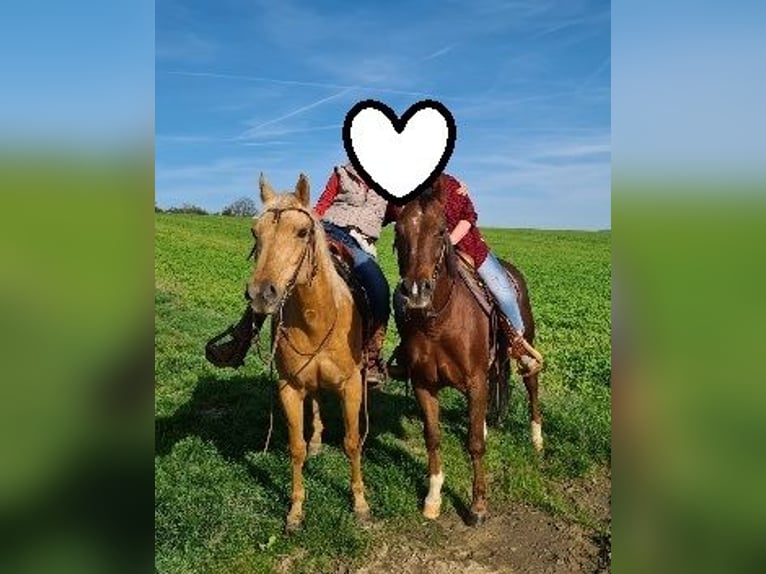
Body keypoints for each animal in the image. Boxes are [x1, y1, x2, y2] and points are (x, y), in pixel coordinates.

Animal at [247, 173, 369, 532]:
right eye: (255, 232)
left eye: (302, 232)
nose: (261, 294)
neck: (317, 317)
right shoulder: (289, 388)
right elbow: (296, 448)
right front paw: (295, 510)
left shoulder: (351, 386)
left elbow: (352, 442)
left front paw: (360, 504)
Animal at [391, 180, 543, 526]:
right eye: (398, 231)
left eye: (440, 230)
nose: (416, 292)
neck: (438, 323)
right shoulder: (424, 384)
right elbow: (433, 437)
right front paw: (433, 498)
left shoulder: (474, 380)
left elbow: (474, 444)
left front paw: (478, 506)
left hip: (523, 343)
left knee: (531, 385)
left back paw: (537, 440)